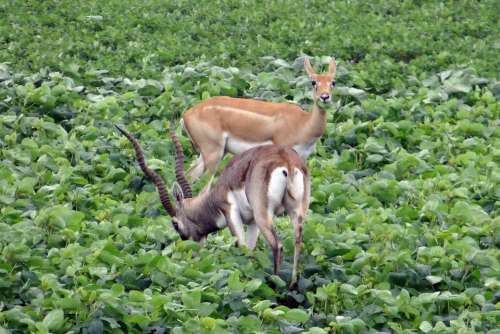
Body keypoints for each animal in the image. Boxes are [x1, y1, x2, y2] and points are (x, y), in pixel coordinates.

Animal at [116, 124, 308, 286]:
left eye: (175, 224)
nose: (192, 249)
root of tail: (286, 161)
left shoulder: (231, 213)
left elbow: (242, 247)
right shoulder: (252, 222)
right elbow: (251, 249)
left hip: (263, 215)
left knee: (278, 245)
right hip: (296, 213)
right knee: (298, 241)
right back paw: (291, 286)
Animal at [182, 56, 338, 181]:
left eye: (333, 82)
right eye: (313, 82)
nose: (324, 97)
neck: (303, 123)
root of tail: (186, 115)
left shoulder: (303, 157)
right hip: (213, 153)